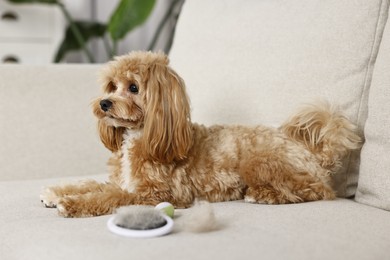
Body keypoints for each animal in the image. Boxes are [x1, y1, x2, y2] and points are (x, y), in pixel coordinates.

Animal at [40, 50, 362, 217]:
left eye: (133, 87)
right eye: (111, 86)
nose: (104, 103)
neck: (142, 135)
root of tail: (313, 152)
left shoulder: (153, 194)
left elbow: (109, 196)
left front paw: (72, 204)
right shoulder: (125, 182)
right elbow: (94, 184)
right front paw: (56, 192)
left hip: (260, 162)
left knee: (316, 190)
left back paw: (261, 195)